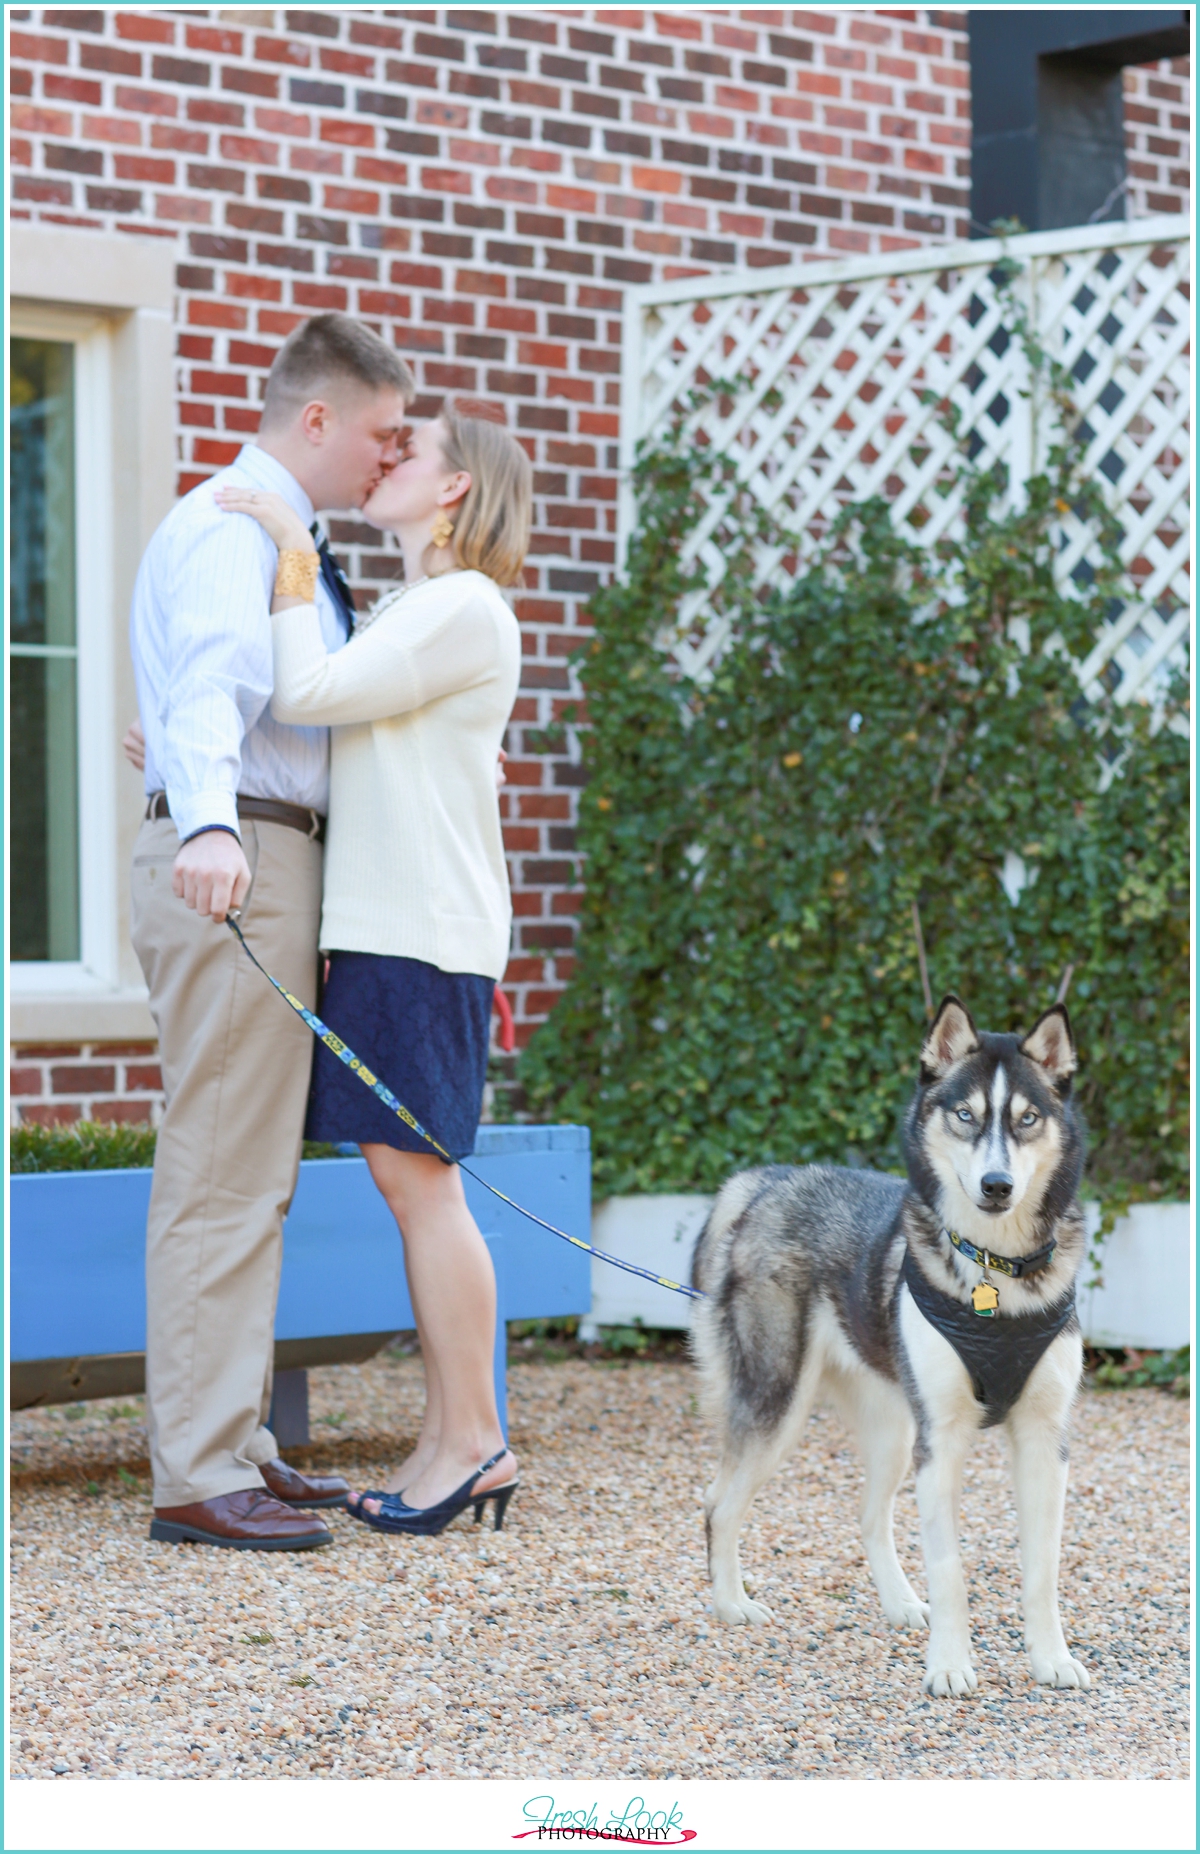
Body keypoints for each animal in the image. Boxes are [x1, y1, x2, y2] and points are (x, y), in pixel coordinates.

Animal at [689, 1001, 1090, 1698]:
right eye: (966, 1115)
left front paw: (1051, 1659)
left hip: (895, 1431)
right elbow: (950, 1567)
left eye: (1027, 1119)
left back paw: (899, 1603)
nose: (996, 1185)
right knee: (718, 1503)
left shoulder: (1046, 1440)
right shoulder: (943, 1441)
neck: (995, 1273)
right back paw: (731, 1603)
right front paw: (951, 1666)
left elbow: (1042, 1568)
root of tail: (768, 1182)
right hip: (779, 1408)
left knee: (868, 1516)